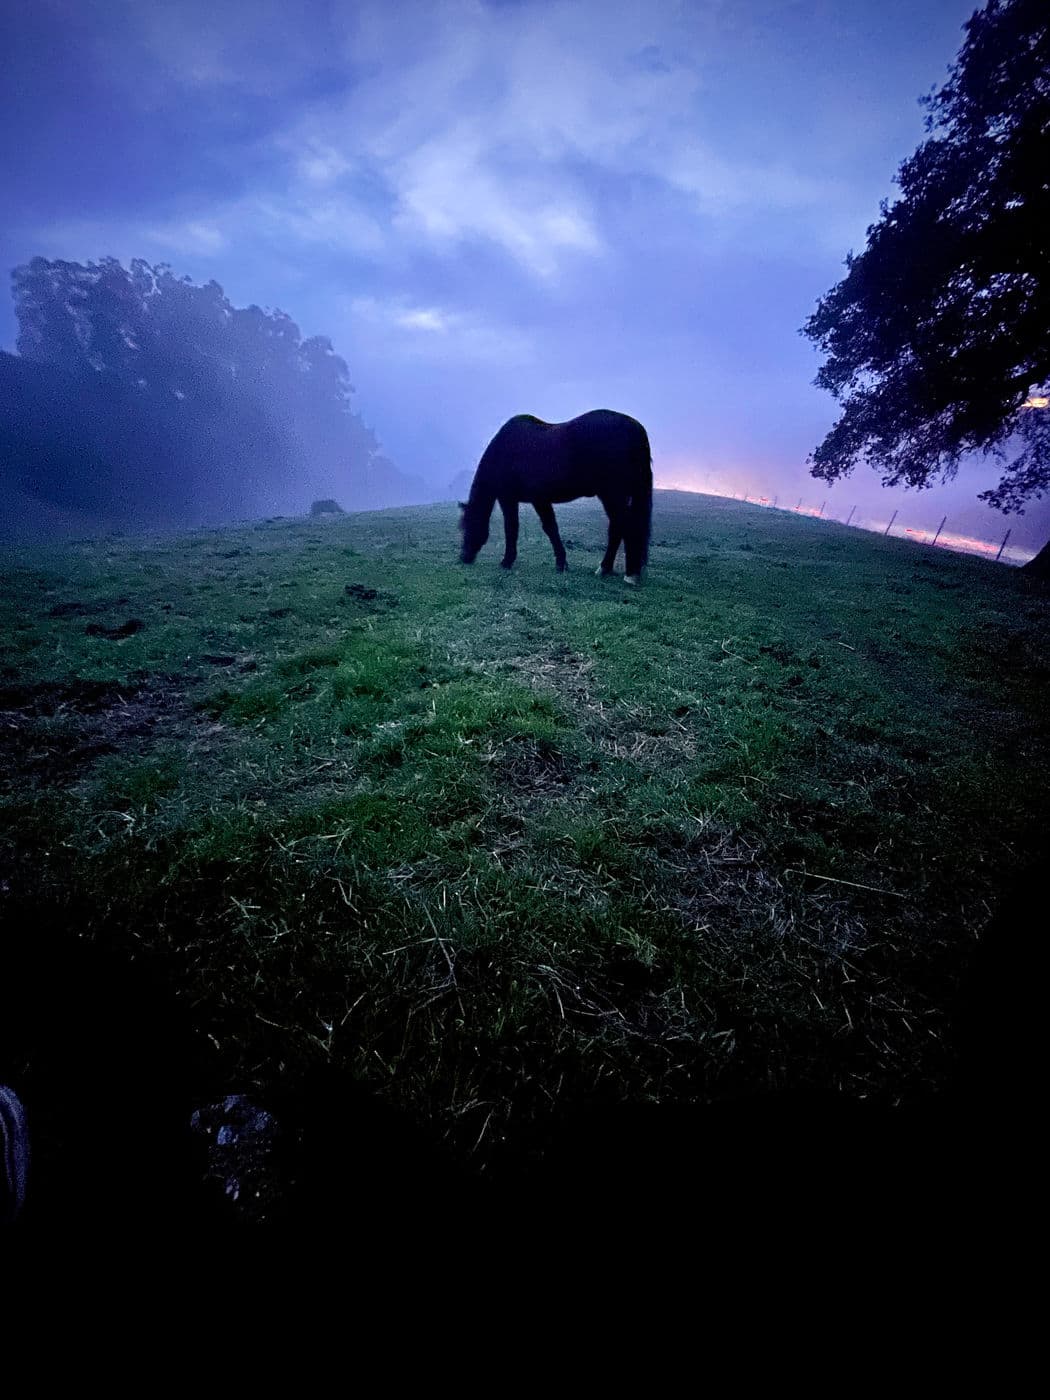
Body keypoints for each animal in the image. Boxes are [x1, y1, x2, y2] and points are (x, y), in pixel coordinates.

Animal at [458, 410, 653, 584]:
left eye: (467, 525)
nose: (464, 557)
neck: (505, 451)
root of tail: (636, 428)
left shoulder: (515, 499)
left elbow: (515, 528)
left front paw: (507, 561)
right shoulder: (539, 500)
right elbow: (551, 528)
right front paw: (562, 563)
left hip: (612, 495)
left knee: (624, 526)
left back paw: (626, 573)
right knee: (618, 528)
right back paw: (607, 569)